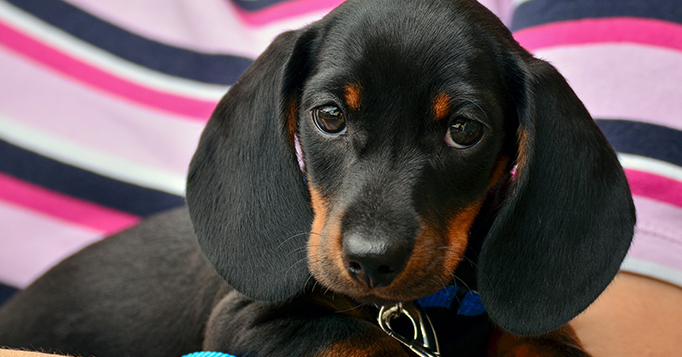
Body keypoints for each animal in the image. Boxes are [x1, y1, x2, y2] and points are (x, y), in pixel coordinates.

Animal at [0, 0, 632, 356]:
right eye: (329, 116)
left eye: (464, 130)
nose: (371, 262)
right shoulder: (245, 322)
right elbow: (361, 339)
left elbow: (544, 340)